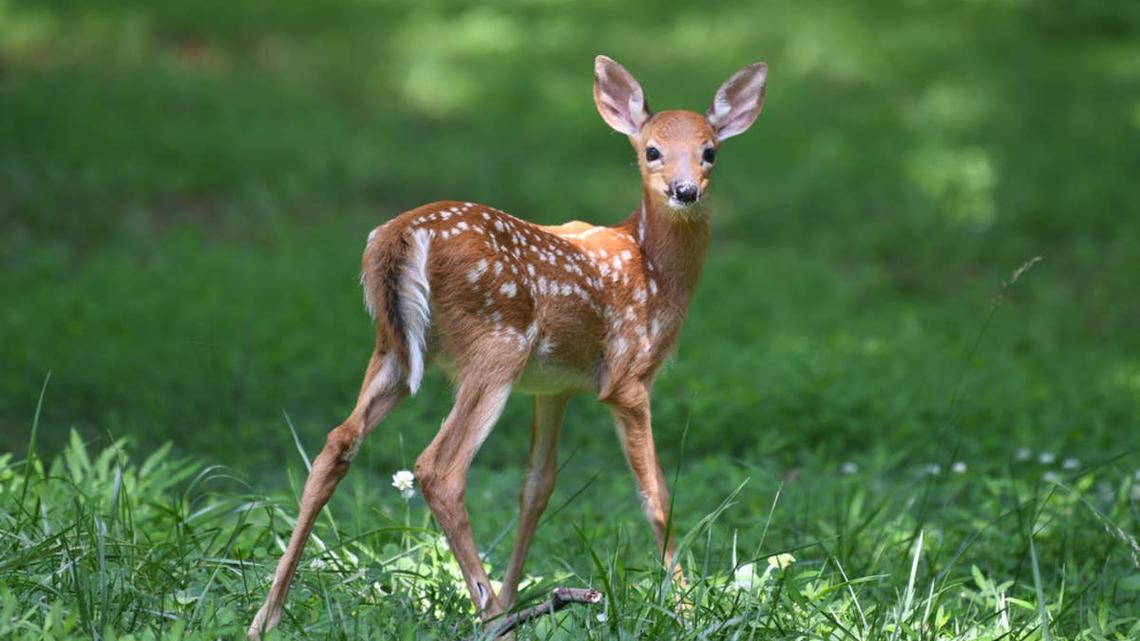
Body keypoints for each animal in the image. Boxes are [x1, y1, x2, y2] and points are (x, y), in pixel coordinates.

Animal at [248, 55, 767, 638]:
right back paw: (493, 614)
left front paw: (520, 591)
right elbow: (655, 492)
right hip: (496, 346)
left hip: (394, 349)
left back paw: (266, 616)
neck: (651, 270)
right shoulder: (628, 378)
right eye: (651, 150)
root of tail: (398, 236)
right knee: (439, 468)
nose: (685, 190)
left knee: (337, 442)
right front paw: (684, 608)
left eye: (710, 151)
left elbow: (536, 488)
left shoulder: (554, 387)